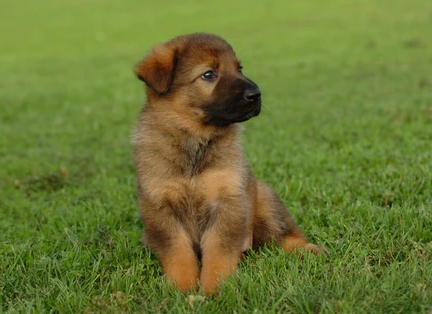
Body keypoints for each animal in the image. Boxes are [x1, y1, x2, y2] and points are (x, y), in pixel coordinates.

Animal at [132, 32, 324, 294]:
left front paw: (216, 287)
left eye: (239, 68)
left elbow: (219, 250)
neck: (196, 141)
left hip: (264, 198)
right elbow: (177, 250)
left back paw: (309, 250)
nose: (256, 94)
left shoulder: (228, 199)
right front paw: (182, 287)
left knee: (283, 236)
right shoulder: (159, 205)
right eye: (208, 74)